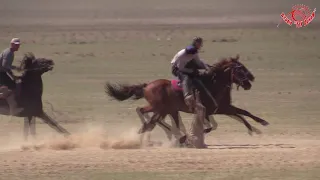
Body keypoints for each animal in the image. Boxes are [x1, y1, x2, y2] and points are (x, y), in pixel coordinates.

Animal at [106, 54, 268, 142]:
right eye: (240, 69)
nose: (250, 81)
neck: (214, 83)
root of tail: (147, 86)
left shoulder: (222, 108)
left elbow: (243, 113)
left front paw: (259, 125)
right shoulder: (212, 110)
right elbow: (213, 125)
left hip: (166, 110)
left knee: (155, 119)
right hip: (159, 107)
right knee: (142, 111)